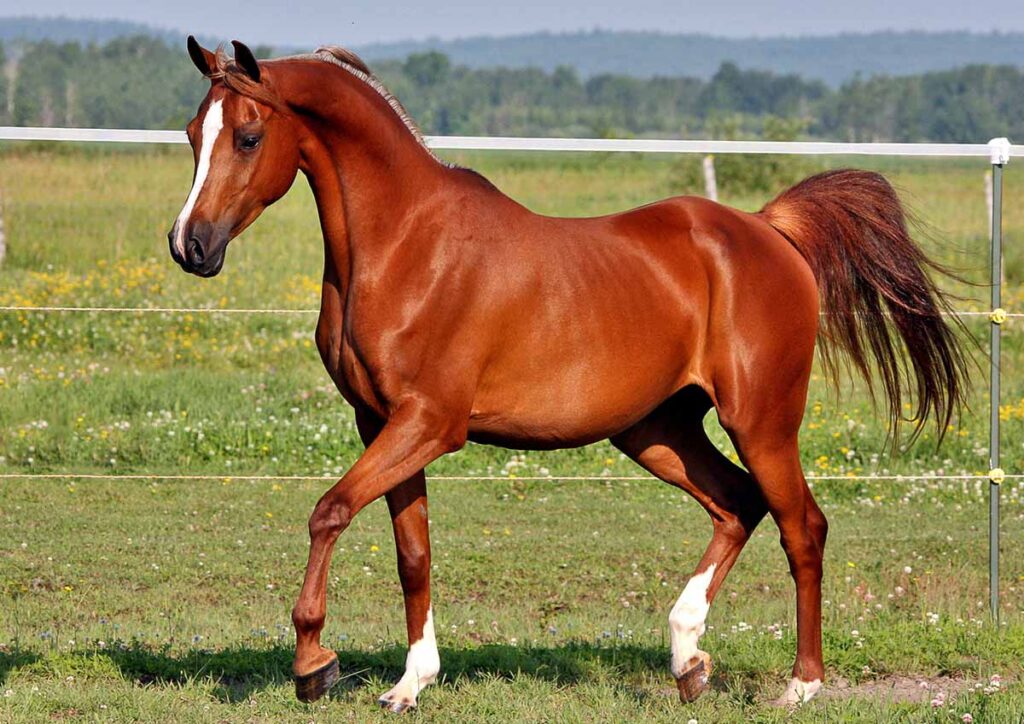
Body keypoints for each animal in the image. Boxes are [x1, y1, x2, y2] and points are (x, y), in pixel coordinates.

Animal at [168, 37, 968, 711]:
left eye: (248, 135)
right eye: (191, 133)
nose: (189, 246)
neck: (405, 245)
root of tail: (768, 230)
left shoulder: (430, 423)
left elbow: (329, 511)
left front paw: (313, 665)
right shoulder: (383, 424)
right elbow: (412, 554)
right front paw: (409, 685)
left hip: (762, 421)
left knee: (802, 526)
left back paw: (801, 686)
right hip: (656, 430)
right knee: (737, 504)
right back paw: (688, 659)